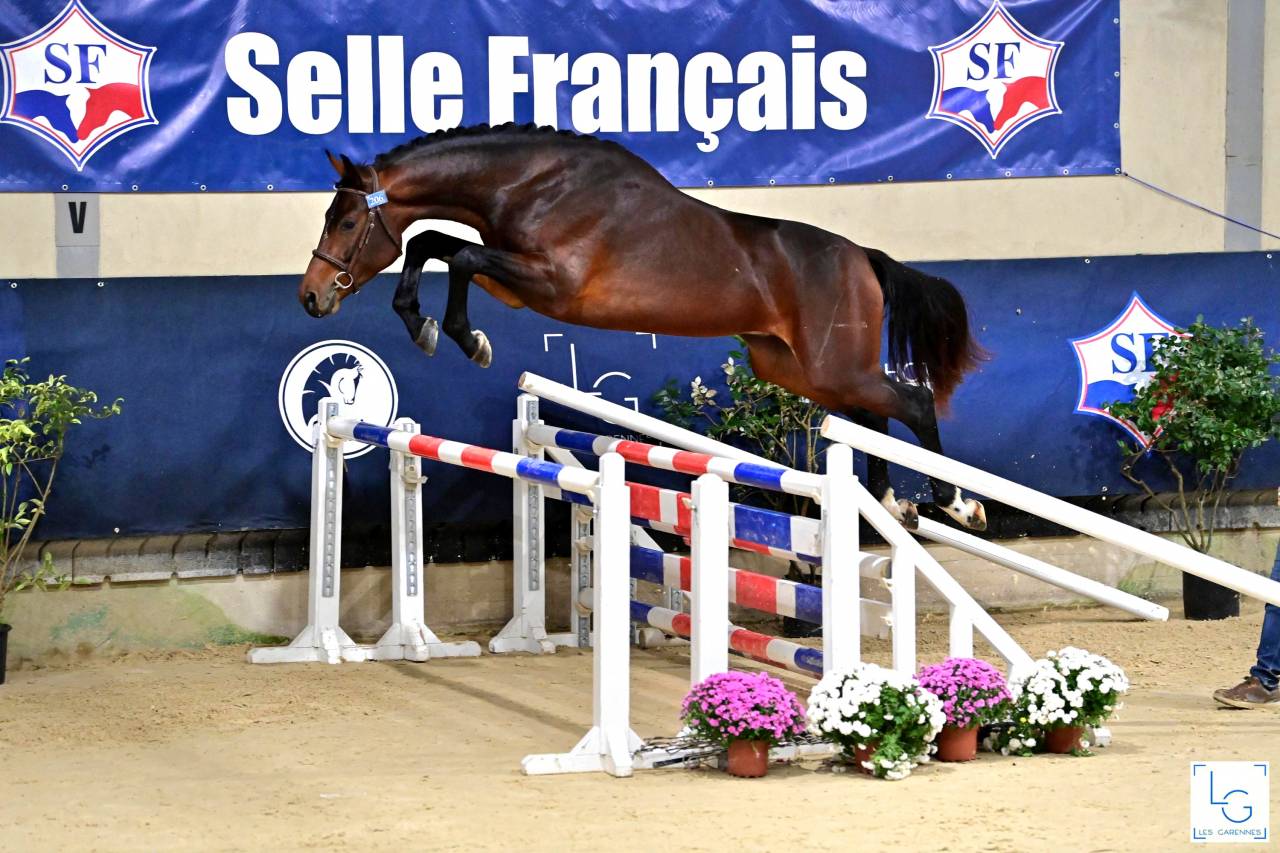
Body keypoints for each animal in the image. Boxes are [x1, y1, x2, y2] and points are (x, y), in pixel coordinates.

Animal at [299, 123, 987, 531]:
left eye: (347, 222)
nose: (311, 297)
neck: (533, 184)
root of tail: (861, 257)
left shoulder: (549, 282)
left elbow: (456, 254)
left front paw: (465, 338)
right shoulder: (513, 283)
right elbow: (432, 244)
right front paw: (424, 325)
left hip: (831, 364)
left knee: (912, 401)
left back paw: (958, 503)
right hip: (796, 367)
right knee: (871, 416)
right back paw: (894, 504)